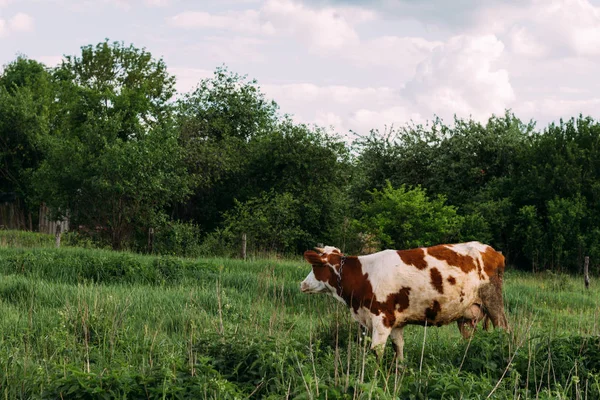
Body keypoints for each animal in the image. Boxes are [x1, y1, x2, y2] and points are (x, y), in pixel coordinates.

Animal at [302, 242, 508, 360]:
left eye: (315, 267)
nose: (302, 284)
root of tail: (493, 251)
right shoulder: (396, 322)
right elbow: (398, 349)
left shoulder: (382, 318)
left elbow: (376, 351)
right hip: (467, 314)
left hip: (493, 301)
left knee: (504, 329)